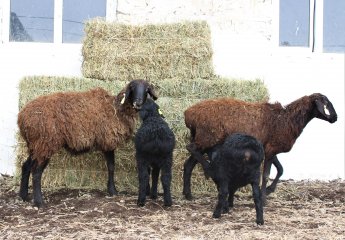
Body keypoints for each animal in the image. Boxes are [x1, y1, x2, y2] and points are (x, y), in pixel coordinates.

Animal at [18, 79, 157, 207]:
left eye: (146, 89)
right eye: (132, 88)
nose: (138, 102)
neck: (117, 109)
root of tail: (22, 117)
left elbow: (110, 166)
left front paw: (111, 189)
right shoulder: (108, 141)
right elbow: (111, 167)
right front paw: (113, 191)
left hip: (35, 145)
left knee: (26, 166)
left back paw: (23, 196)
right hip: (45, 144)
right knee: (36, 172)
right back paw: (39, 202)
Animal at [183, 93, 336, 203]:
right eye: (326, 104)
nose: (335, 118)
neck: (287, 119)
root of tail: (189, 114)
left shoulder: (270, 148)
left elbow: (280, 169)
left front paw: (269, 190)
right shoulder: (271, 149)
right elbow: (267, 174)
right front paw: (263, 198)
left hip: (204, 139)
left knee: (189, 163)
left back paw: (188, 194)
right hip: (207, 137)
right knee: (191, 148)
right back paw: (208, 170)